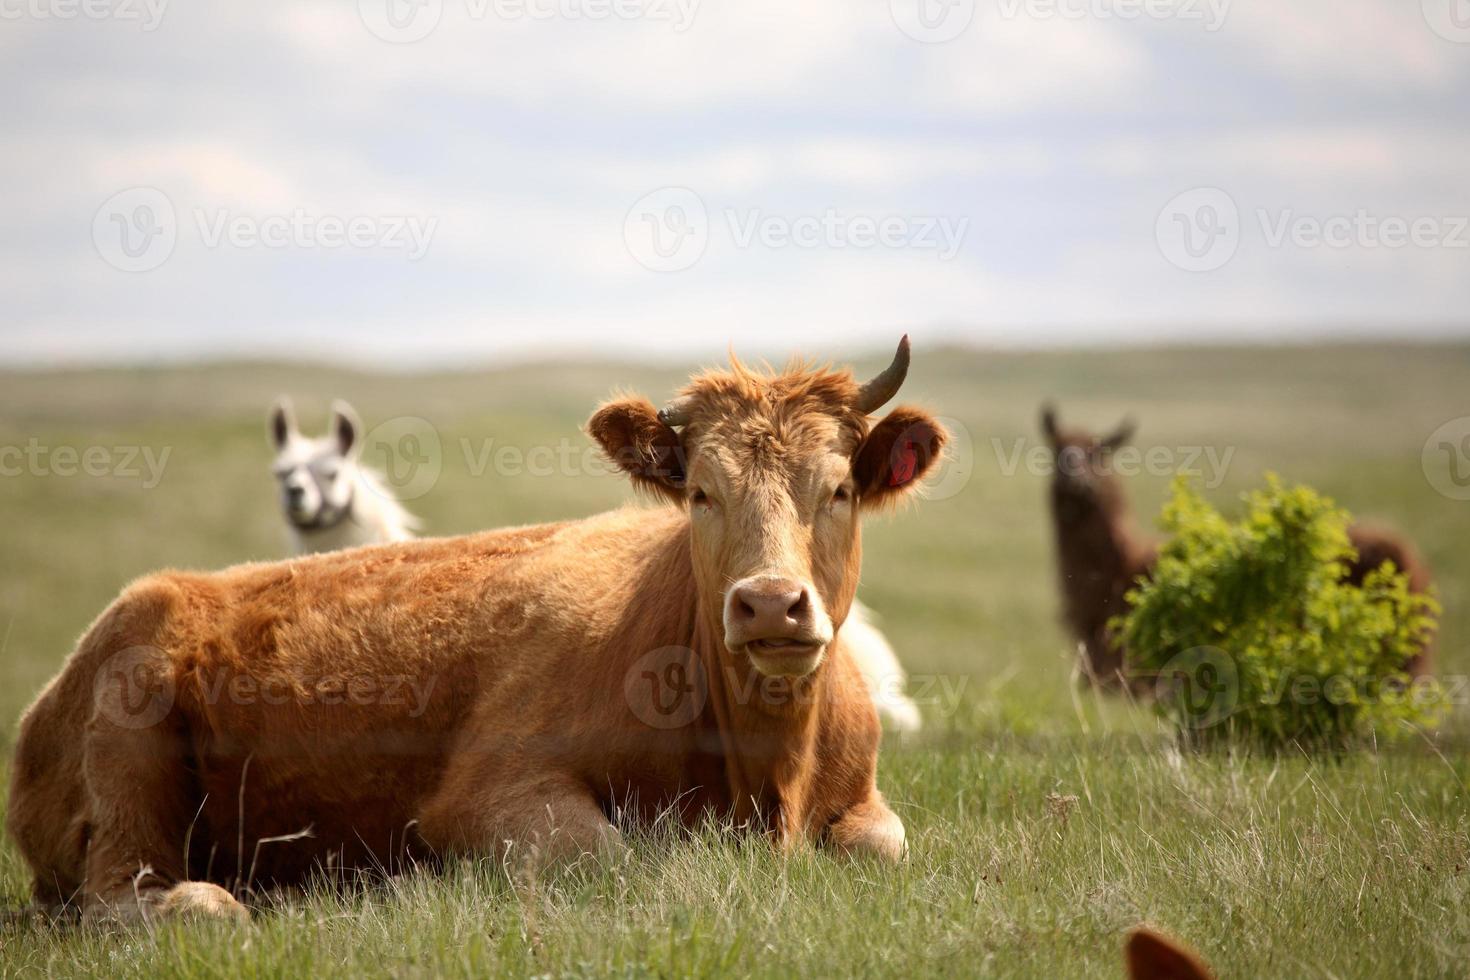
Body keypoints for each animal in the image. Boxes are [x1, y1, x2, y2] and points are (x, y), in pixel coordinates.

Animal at [5, 339, 946, 928]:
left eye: (839, 489)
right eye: (702, 492)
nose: (770, 603)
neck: (764, 767)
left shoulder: (864, 804)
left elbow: (882, 845)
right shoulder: (488, 796)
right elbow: (608, 854)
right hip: (129, 762)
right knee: (126, 894)